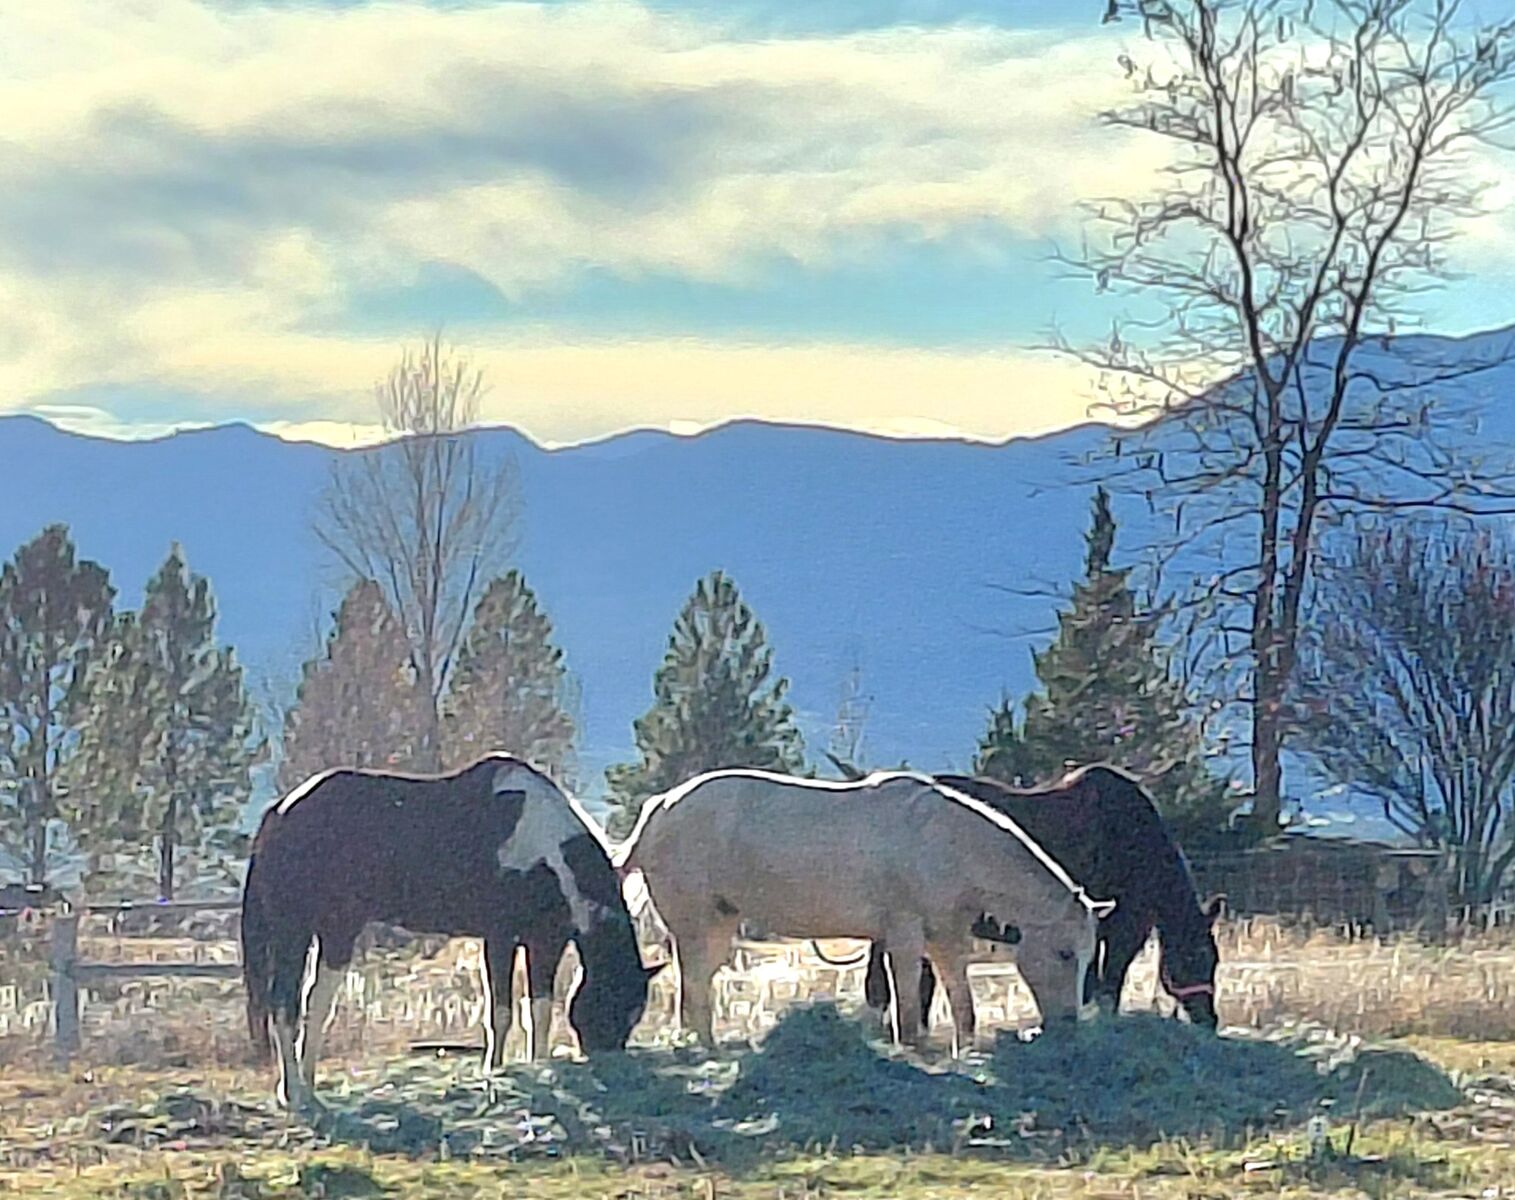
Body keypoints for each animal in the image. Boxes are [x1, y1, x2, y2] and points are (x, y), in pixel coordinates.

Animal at [240, 753, 662, 1112]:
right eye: (613, 1003)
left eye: (634, 1013)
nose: (605, 1059)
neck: (544, 847)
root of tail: (280, 812)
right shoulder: (501, 937)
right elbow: (501, 1011)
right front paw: (496, 1070)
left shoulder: (546, 942)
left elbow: (538, 1010)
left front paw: (536, 1063)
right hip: (298, 930)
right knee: (285, 1005)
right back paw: (295, 1094)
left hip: (330, 931)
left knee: (313, 1004)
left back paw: (305, 1088)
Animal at [613, 767, 1116, 1054]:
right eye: (1065, 954)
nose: (1068, 1025)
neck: (948, 845)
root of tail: (658, 808)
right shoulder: (906, 936)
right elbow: (908, 1004)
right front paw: (911, 1050)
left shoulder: (947, 939)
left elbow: (962, 1003)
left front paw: (965, 1050)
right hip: (695, 927)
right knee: (694, 988)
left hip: (718, 926)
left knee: (696, 987)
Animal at [855, 765, 1224, 1032]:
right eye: (1193, 957)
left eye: (1215, 960)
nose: (1209, 1020)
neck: (1137, 845)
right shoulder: (1121, 929)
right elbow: (1107, 984)